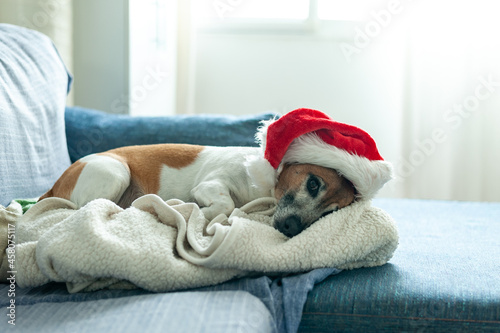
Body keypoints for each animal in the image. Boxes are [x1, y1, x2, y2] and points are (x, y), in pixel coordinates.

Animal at [40, 143, 356, 236]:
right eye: (313, 183)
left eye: (329, 213)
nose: (292, 228)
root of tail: (53, 185)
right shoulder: (211, 185)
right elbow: (226, 205)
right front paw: (202, 210)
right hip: (115, 171)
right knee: (90, 207)